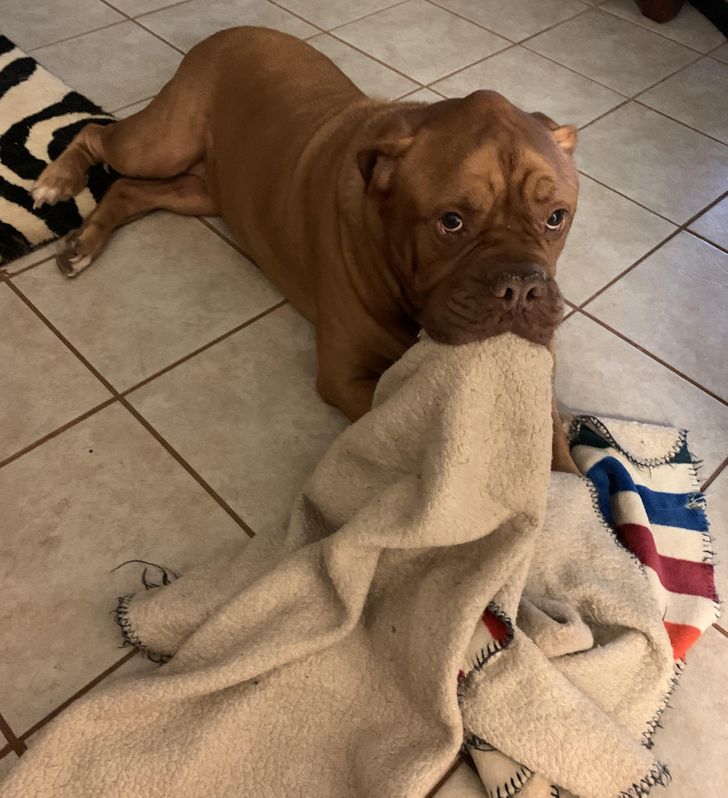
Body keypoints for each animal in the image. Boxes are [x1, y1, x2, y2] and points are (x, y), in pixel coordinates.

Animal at [31, 26, 580, 476]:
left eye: (557, 217)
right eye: (452, 222)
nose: (521, 287)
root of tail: (231, 30)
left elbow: (558, 456)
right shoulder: (347, 377)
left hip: (199, 192)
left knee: (129, 190)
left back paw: (82, 242)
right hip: (162, 143)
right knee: (96, 134)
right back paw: (56, 182)